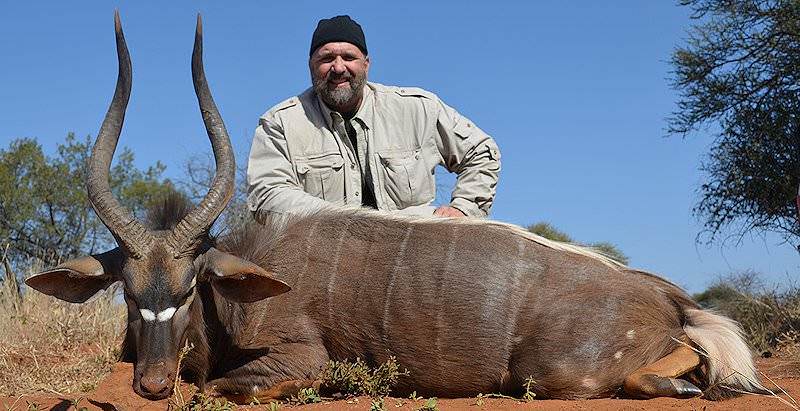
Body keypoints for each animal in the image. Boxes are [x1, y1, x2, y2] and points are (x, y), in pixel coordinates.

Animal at [25, 12, 764, 402]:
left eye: (188, 289)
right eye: (128, 292)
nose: (152, 383)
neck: (245, 278)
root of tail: (667, 296)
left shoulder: (299, 362)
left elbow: (220, 387)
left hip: (554, 373)